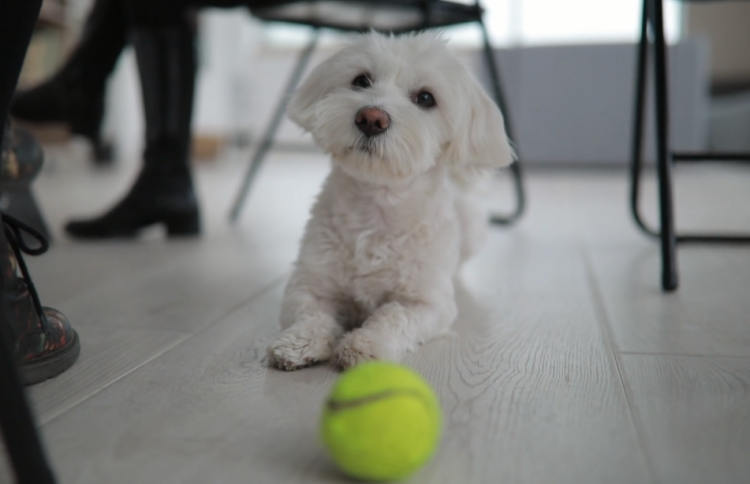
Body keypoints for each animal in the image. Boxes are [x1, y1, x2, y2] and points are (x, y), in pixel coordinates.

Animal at [268, 31, 516, 370]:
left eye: (426, 98)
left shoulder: (428, 304)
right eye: (361, 80)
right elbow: (310, 311)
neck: (378, 207)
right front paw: (300, 341)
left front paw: (365, 344)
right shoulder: (309, 282)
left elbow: (394, 316)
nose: (371, 118)